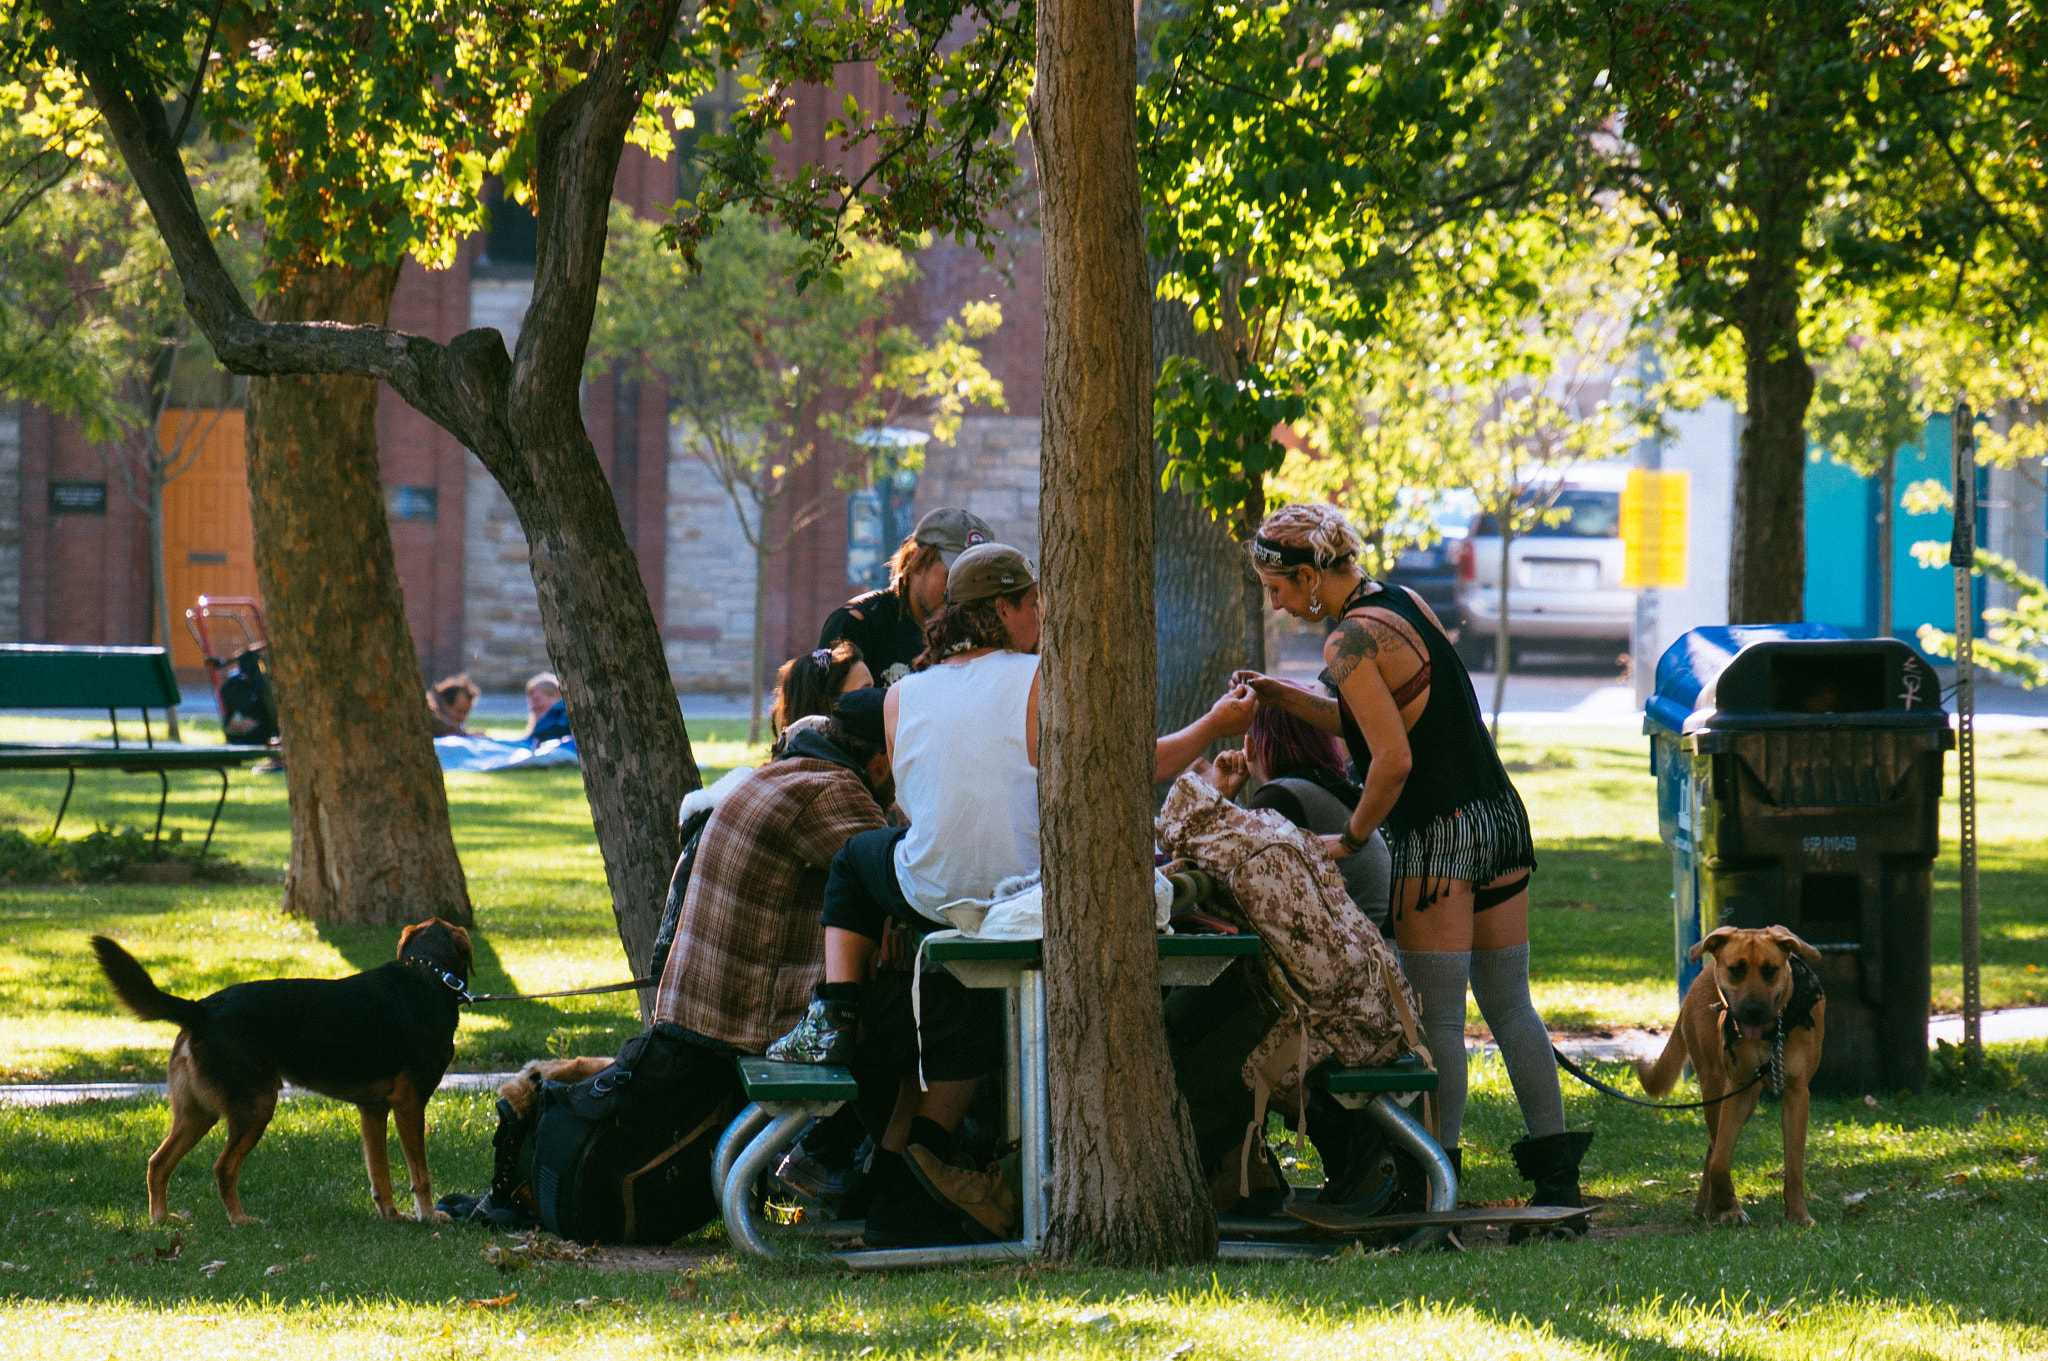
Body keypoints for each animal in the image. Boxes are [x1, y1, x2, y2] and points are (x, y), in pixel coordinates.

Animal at [94, 916, 473, 1227]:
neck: (429, 972)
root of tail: (200, 1008)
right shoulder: (410, 1104)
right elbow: (420, 1174)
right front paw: (429, 1216)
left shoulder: (373, 1109)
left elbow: (380, 1177)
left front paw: (392, 1216)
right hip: (256, 1106)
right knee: (222, 1168)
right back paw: (241, 1220)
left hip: (198, 1113)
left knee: (158, 1163)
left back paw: (160, 1219)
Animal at [1638, 925, 1835, 1219]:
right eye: (1736, 970)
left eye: (1770, 970)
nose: (1753, 1011)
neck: (1769, 1034)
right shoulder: (1735, 1090)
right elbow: (1721, 1159)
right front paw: (1729, 1208)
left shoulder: (1797, 1093)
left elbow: (1794, 1165)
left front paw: (1798, 1215)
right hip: (1714, 1088)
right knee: (1713, 1145)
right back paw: (1709, 1205)